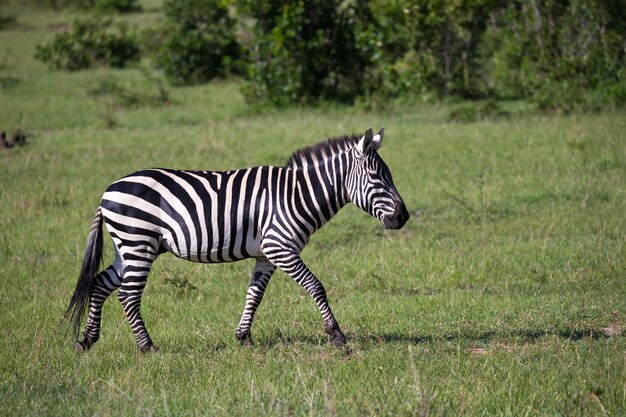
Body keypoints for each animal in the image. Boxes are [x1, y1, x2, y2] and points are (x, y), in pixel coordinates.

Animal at [64, 127, 410, 352]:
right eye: (377, 176)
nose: (403, 217)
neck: (296, 194)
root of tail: (108, 190)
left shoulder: (266, 254)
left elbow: (254, 295)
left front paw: (243, 337)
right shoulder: (280, 247)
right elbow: (316, 287)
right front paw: (337, 335)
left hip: (127, 247)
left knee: (100, 283)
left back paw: (87, 341)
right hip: (139, 243)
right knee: (127, 295)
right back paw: (148, 347)